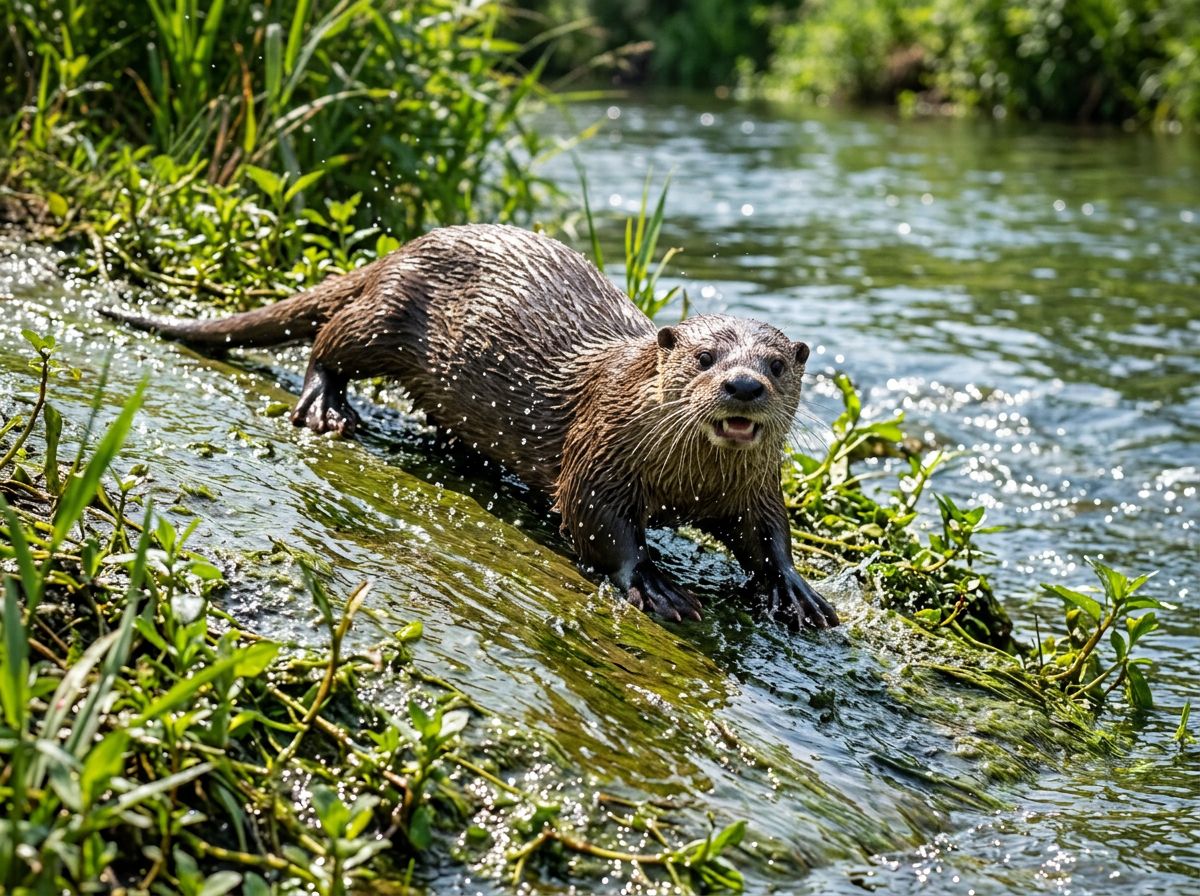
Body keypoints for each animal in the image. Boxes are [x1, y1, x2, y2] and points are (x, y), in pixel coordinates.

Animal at [103, 224, 838, 630]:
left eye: (775, 364)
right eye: (704, 357)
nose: (743, 386)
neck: (687, 480)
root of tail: (409, 245)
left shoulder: (755, 487)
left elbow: (768, 532)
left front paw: (795, 592)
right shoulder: (599, 447)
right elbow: (597, 520)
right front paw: (653, 583)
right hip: (387, 316)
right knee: (331, 339)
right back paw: (327, 407)